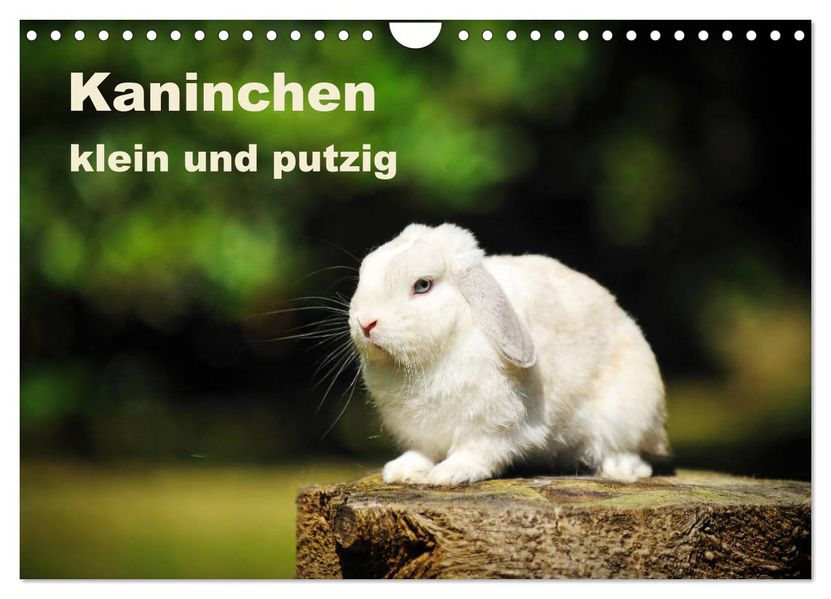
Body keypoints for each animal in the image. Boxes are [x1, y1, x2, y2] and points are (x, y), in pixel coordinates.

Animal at [348, 223, 669, 485]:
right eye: (363, 274)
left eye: (422, 285)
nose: (366, 323)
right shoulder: (422, 431)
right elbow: (423, 451)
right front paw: (402, 471)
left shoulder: (494, 425)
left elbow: (477, 451)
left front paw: (450, 473)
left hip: (625, 413)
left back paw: (619, 470)